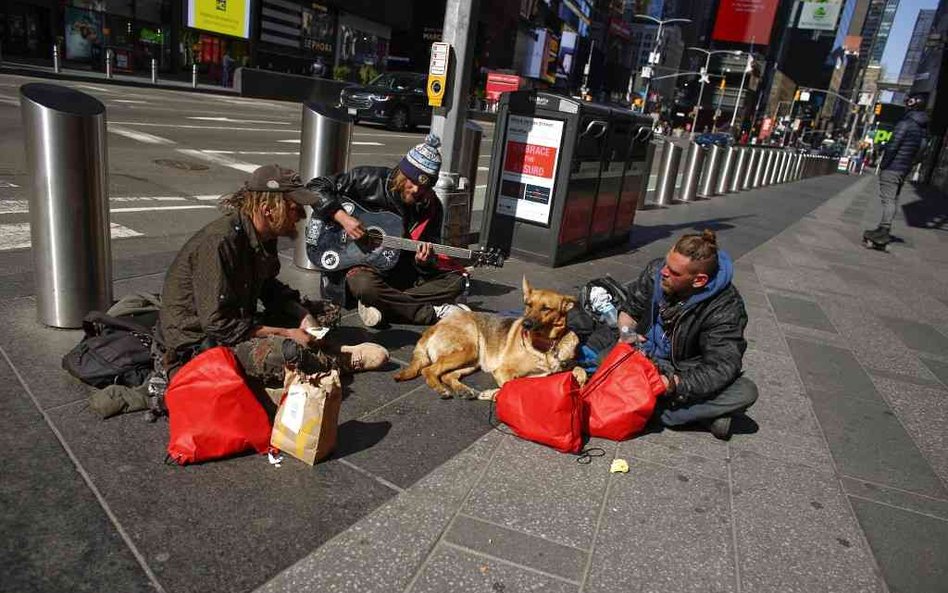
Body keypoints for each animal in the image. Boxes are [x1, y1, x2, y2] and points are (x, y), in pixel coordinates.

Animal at [390, 276, 576, 398]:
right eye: (528, 305)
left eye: (546, 309)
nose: (526, 324)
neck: (544, 345)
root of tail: (434, 327)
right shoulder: (503, 370)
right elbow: (509, 385)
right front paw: (493, 394)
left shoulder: (541, 375)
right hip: (468, 351)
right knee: (428, 370)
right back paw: (441, 389)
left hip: (472, 361)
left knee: (446, 375)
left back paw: (462, 390)